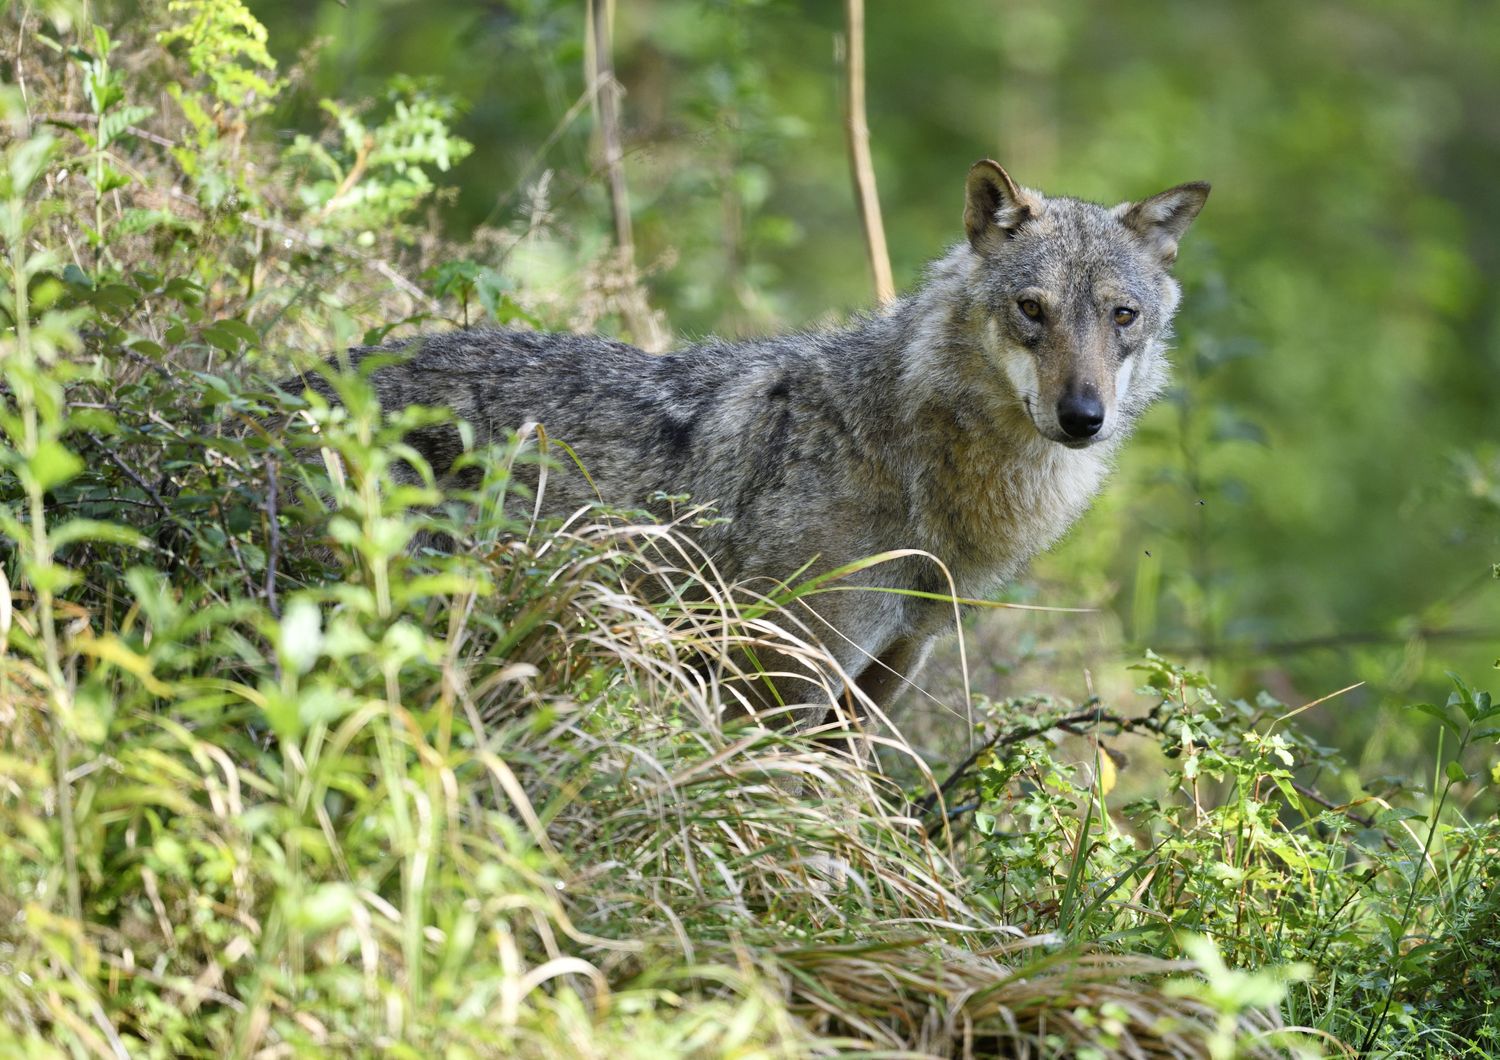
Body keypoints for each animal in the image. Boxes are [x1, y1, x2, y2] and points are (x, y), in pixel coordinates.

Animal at [289, 159, 1206, 737]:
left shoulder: (883, 679)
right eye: (1032, 310)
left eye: (1121, 317)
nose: (1082, 416)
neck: (910, 462)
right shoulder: (777, 676)